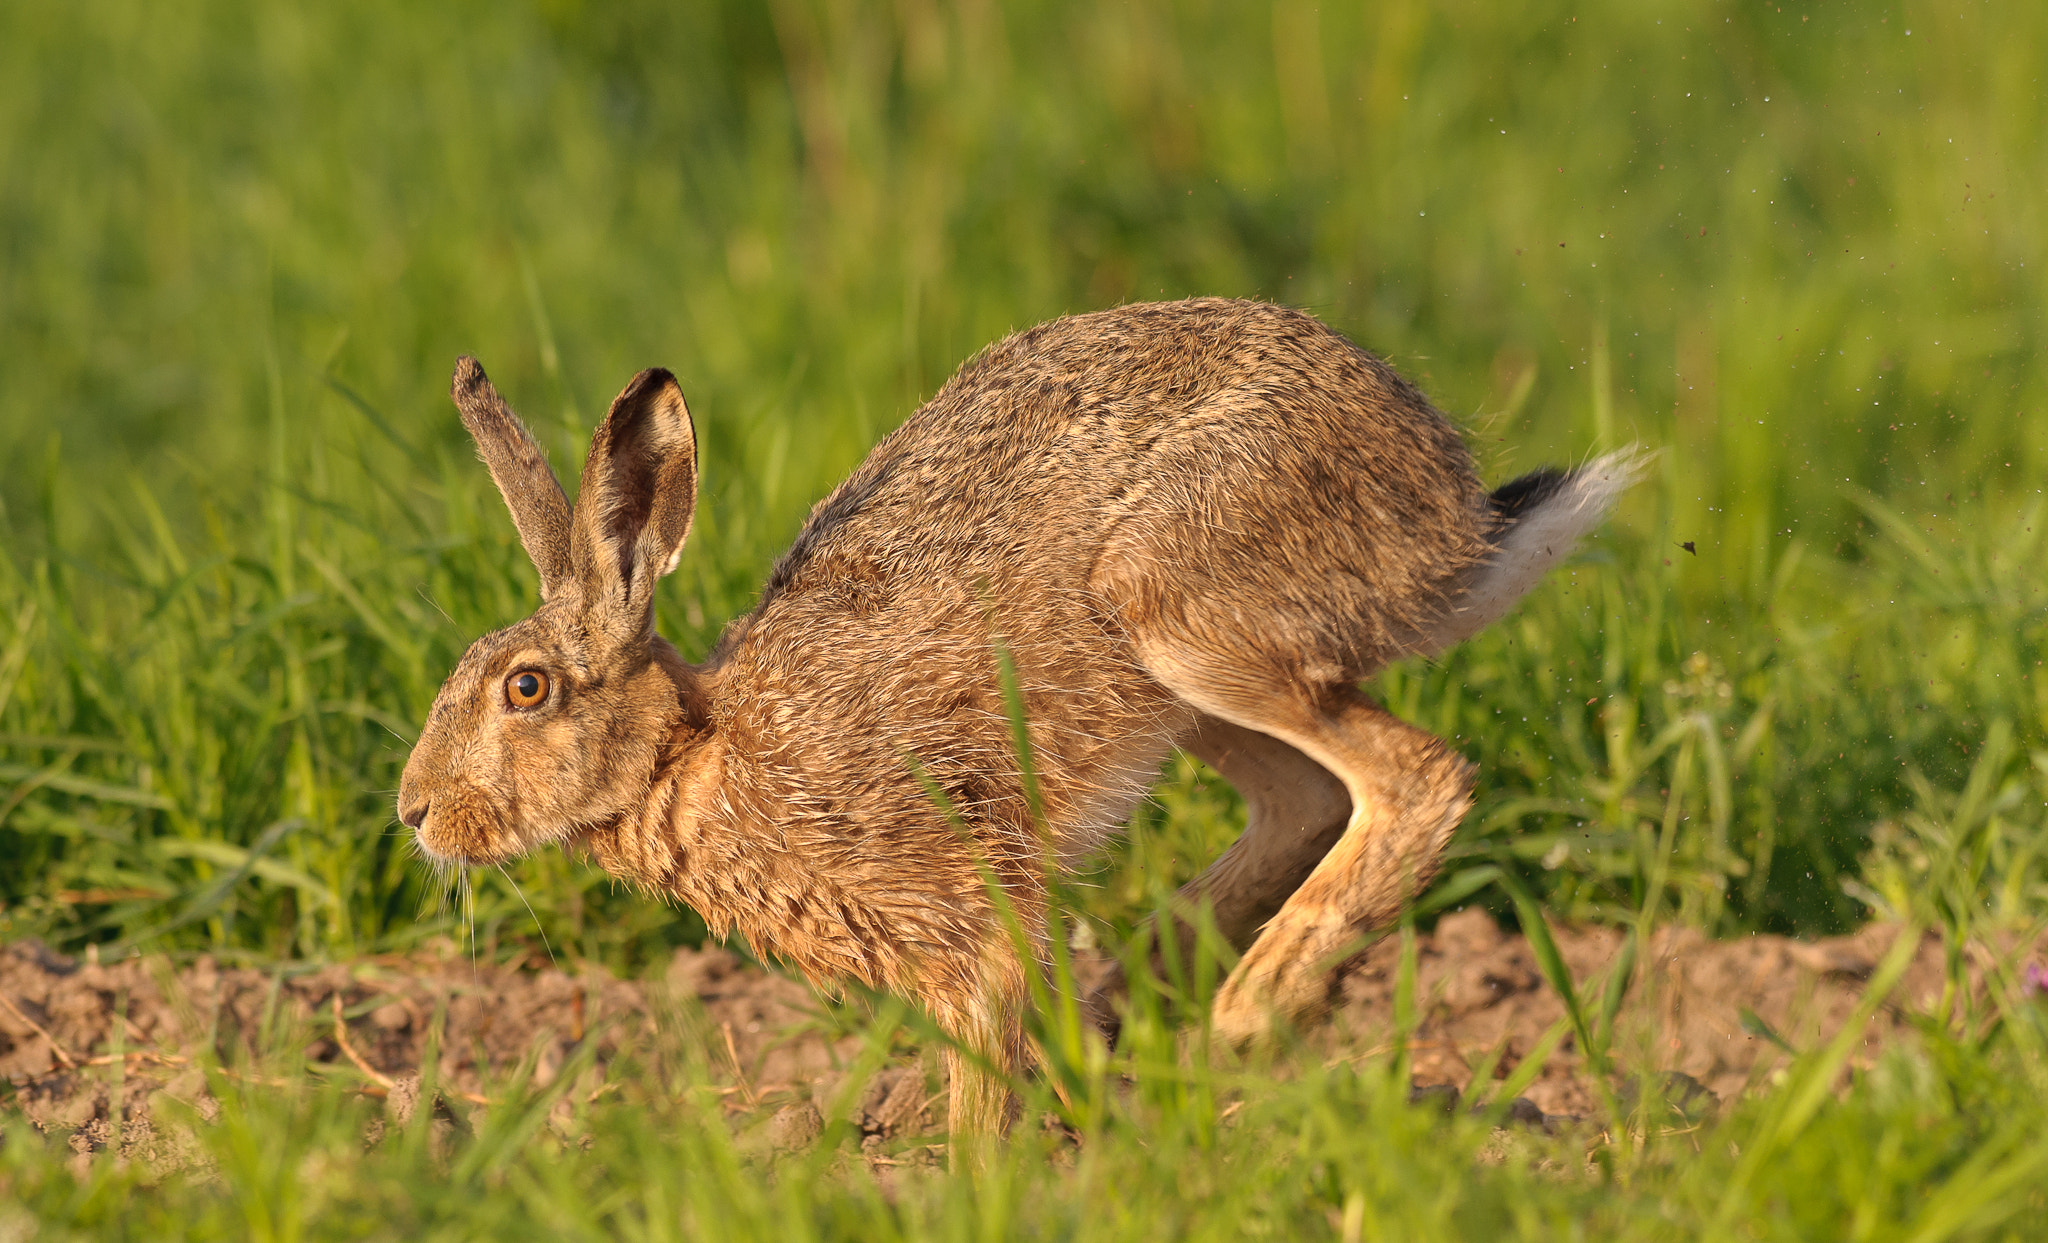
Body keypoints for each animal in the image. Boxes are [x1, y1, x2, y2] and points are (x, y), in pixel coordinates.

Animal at [396, 297, 1641, 1140]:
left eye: (524, 688)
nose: (416, 813)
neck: (689, 755)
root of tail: (1446, 510)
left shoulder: (961, 913)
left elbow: (982, 1070)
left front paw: (971, 1178)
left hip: (1179, 602)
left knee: (1413, 777)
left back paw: (1244, 1015)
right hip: (1176, 683)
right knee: (1304, 797)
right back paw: (1126, 1024)